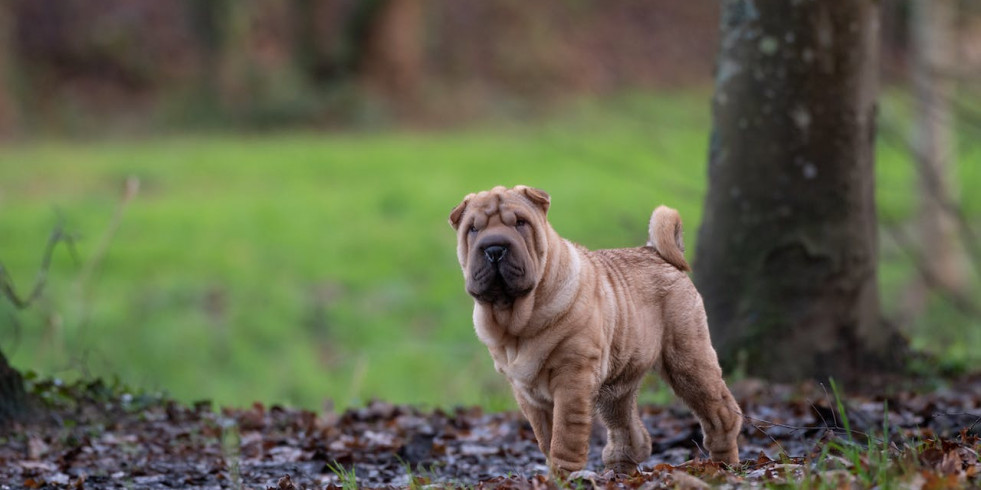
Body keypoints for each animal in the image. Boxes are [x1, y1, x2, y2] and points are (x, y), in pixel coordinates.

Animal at [448, 185, 740, 474]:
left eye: (521, 223)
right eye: (473, 229)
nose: (494, 248)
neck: (518, 320)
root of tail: (655, 252)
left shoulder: (572, 378)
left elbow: (565, 434)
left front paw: (565, 476)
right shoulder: (527, 393)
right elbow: (545, 436)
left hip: (687, 361)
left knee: (721, 414)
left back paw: (724, 464)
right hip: (618, 384)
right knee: (629, 429)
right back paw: (620, 468)